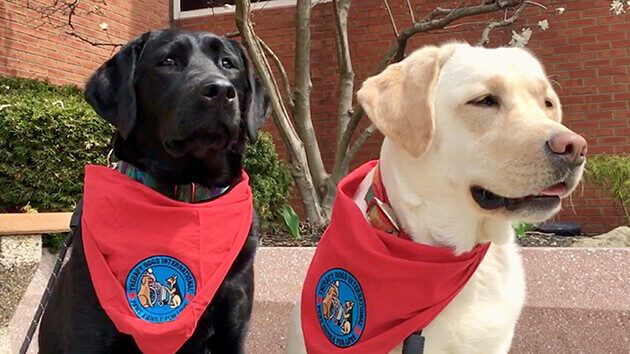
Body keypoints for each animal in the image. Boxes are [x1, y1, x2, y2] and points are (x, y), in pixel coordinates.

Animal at [37, 29, 270, 352]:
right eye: (168, 61)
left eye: (228, 63)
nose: (220, 90)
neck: (186, 196)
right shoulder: (90, 335)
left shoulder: (231, 331)